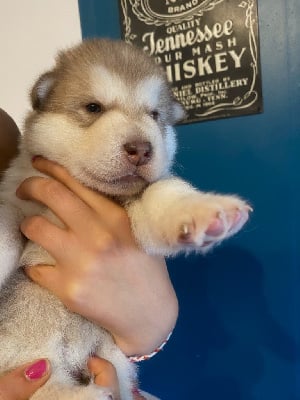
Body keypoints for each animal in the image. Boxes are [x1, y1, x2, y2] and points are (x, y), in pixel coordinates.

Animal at [0, 38, 248, 400]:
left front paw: (201, 210)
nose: (141, 149)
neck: (97, 192)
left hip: (108, 357)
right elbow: (5, 226)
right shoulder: (16, 197)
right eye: (93, 108)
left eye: (155, 115)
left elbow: (164, 190)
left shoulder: (141, 202)